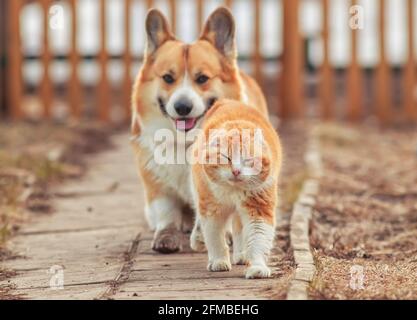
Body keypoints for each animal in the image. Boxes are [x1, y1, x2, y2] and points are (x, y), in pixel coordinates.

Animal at [130, 6, 266, 254]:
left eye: (202, 78)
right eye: (167, 78)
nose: (182, 107)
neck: (187, 142)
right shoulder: (157, 185)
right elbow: (167, 211)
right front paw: (167, 236)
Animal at [189, 99, 282, 278]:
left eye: (248, 159)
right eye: (227, 158)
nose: (236, 171)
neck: (234, 191)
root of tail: (227, 101)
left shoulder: (259, 208)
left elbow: (258, 238)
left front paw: (257, 267)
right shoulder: (212, 210)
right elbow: (215, 238)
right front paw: (218, 261)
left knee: (239, 230)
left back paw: (241, 255)